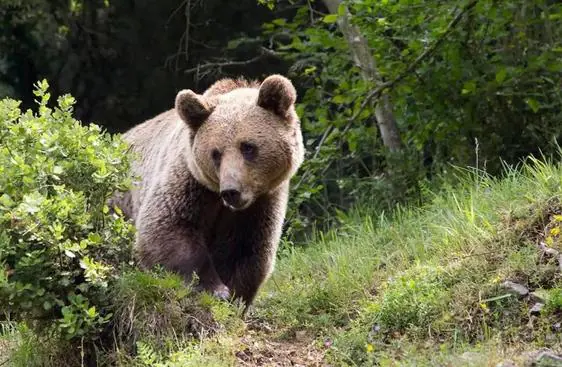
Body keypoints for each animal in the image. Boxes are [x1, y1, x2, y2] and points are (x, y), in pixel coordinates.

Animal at [111, 74, 304, 314]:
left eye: (248, 147)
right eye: (216, 153)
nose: (231, 191)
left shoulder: (261, 203)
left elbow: (247, 249)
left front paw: (234, 296)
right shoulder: (189, 183)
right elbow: (167, 228)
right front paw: (214, 289)